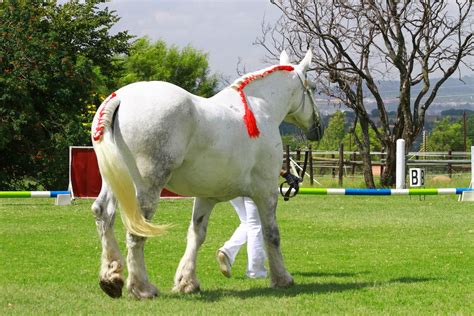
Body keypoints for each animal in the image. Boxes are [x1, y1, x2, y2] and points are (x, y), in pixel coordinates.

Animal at [90, 49, 324, 298]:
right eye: (313, 87)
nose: (318, 128)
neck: (259, 110)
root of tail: (120, 98)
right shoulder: (266, 191)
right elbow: (272, 234)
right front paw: (282, 278)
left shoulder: (206, 197)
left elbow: (196, 234)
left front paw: (187, 281)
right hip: (147, 186)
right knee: (136, 230)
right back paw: (141, 287)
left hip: (114, 182)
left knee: (103, 214)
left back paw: (111, 278)